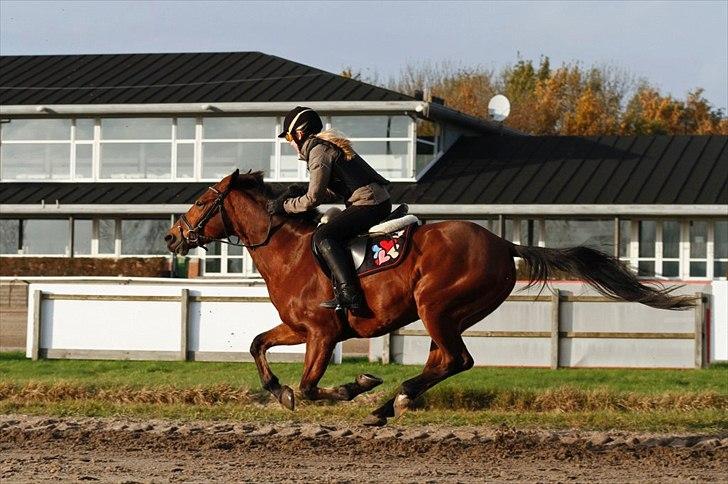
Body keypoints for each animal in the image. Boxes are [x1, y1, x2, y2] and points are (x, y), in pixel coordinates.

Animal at [165, 168, 692, 426]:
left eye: (201, 200)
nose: (172, 236)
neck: (292, 251)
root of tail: (503, 243)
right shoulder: (299, 328)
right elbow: (258, 344)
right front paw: (278, 391)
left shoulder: (321, 332)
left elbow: (313, 387)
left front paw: (353, 385)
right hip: (447, 314)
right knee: (444, 361)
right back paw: (389, 404)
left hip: (436, 306)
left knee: (457, 360)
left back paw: (389, 400)